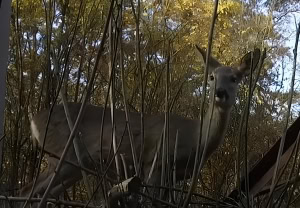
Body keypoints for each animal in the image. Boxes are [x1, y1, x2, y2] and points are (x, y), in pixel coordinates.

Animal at [20, 46, 260, 203]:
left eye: (235, 78)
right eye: (211, 77)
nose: (220, 93)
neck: (196, 138)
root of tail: (33, 121)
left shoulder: (174, 177)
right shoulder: (155, 161)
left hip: (74, 166)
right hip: (63, 154)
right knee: (28, 190)